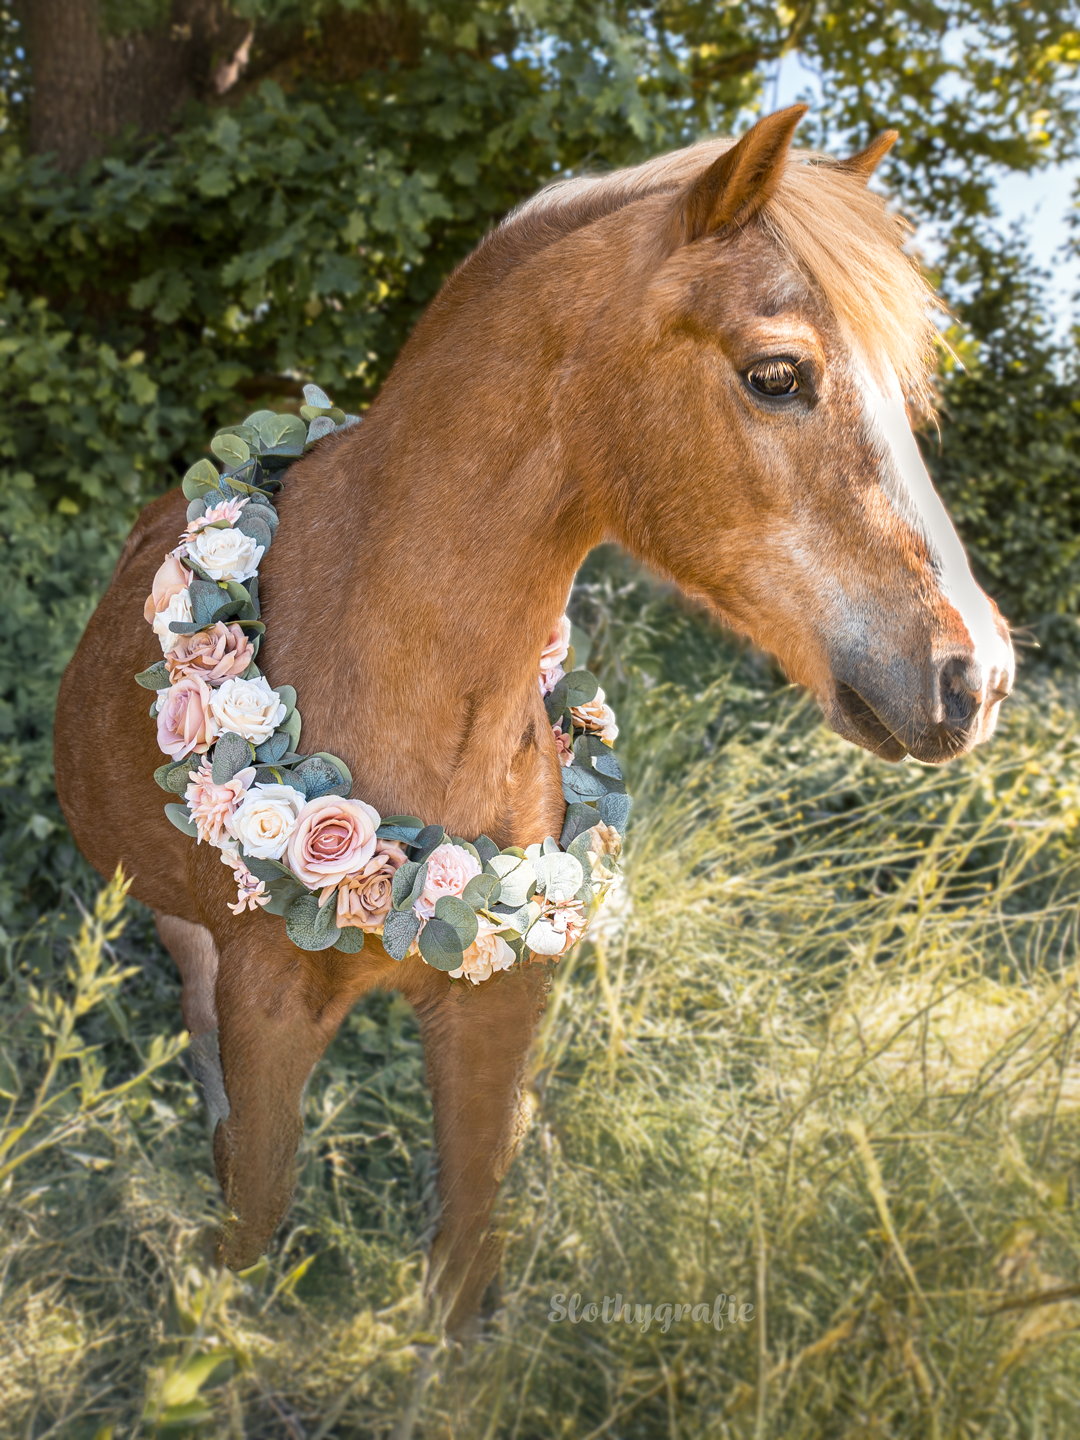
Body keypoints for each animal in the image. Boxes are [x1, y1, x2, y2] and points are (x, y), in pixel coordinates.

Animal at [54, 105, 1014, 1334]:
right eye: (779, 374)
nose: (973, 676)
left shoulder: (499, 1001)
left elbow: (466, 1256)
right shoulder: (269, 1003)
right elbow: (255, 1213)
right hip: (185, 929)